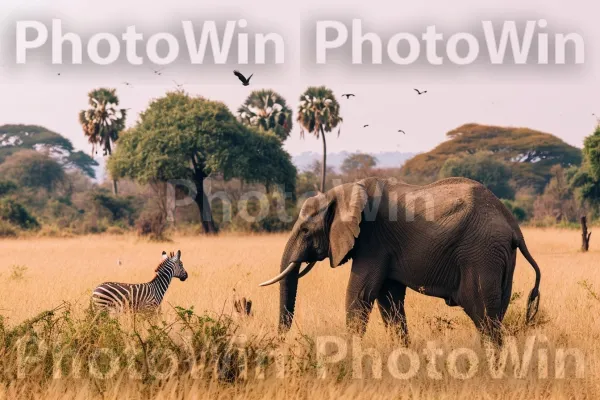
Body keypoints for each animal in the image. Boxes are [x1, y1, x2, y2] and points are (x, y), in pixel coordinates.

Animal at [260, 177, 540, 344]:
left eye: (306, 230)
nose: (280, 341)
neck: (346, 190)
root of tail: (512, 224)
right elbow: (389, 300)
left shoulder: (373, 241)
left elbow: (360, 294)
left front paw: (348, 352)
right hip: (501, 257)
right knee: (496, 313)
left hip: (482, 253)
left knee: (483, 315)